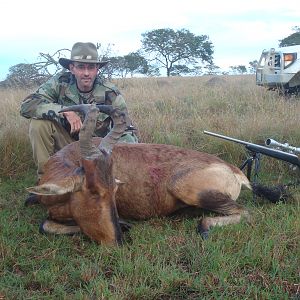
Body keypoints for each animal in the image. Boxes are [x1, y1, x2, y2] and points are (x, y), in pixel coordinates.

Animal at [27, 103, 272, 244]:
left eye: (114, 190)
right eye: (93, 191)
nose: (117, 243)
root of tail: (234, 171)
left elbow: (45, 225)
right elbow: (46, 225)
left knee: (246, 212)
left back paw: (203, 227)